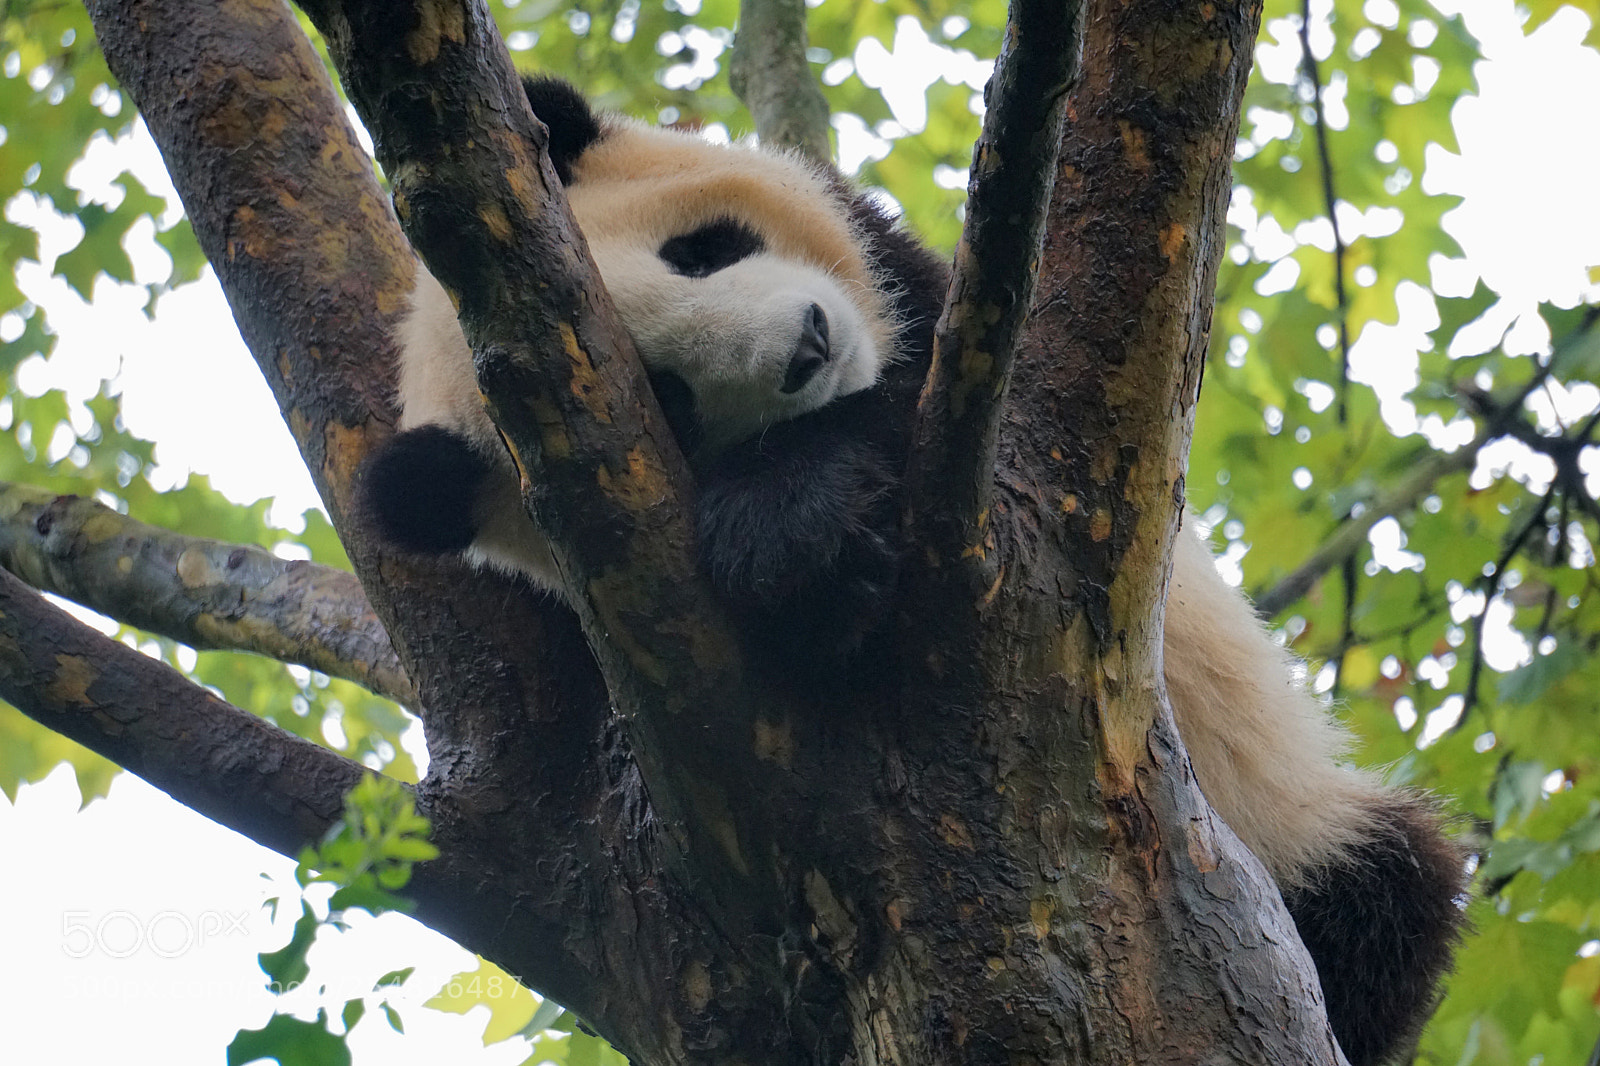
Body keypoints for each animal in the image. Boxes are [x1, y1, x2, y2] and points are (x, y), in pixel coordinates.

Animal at [363, 75, 1465, 1066]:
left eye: (703, 250)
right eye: (666, 400)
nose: (808, 348)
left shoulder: (958, 340)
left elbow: (953, 410)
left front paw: (792, 533)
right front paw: (808, 567)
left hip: (1287, 814)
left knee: (1379, 901)